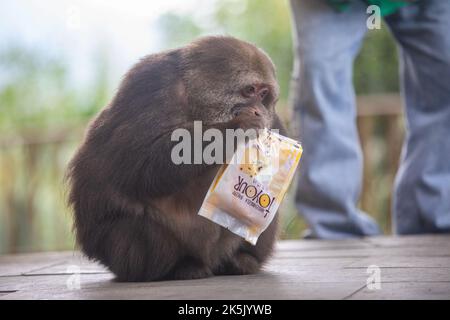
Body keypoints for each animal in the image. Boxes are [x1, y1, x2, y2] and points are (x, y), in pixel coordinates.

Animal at [65, 35, 286, 282]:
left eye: (263, 94)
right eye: (250, 90)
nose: (259, 110)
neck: (197, 103)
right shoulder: (150, 85)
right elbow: (137, 164)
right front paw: (235, 129)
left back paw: (241, 259)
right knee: (134, 227)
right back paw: (178, 267)